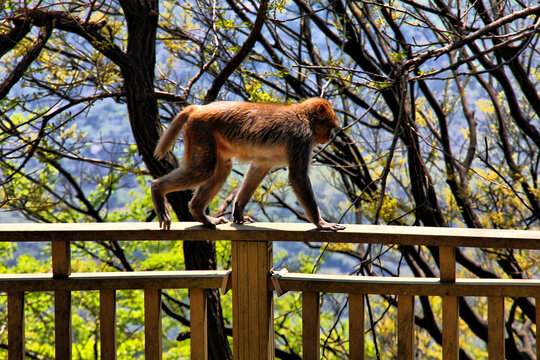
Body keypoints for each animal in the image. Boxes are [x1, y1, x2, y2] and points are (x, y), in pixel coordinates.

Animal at [152, 98, 346, 232]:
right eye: (331, 127)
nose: (330, 137)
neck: (304, 117)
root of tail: (199, 109)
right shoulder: (301, 138)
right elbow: (298, 177)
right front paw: (321, 223)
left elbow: (259, 168)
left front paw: (238, 210)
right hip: (201, 131)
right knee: (204, 171)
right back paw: (157, 189)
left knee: (222, 170)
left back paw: (200, 213)